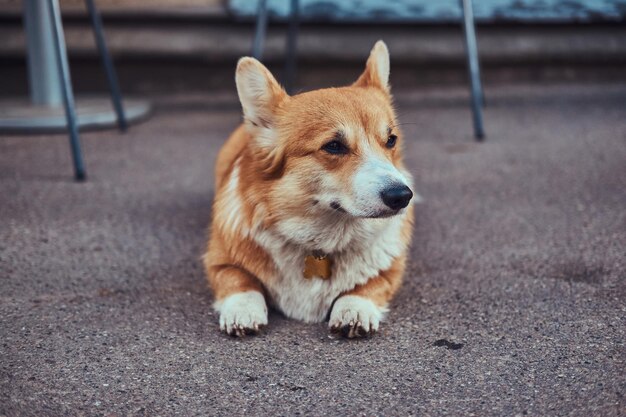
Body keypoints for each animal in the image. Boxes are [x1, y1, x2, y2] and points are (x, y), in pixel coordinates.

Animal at [204, 40, 414, 336]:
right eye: (334, 146)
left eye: (391, 140)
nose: (402, 196)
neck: (320, 244)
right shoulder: (218, 260)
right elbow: (239, 280)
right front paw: (242, 310)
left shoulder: (390, 269)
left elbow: (368, 284)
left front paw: (355, 310)